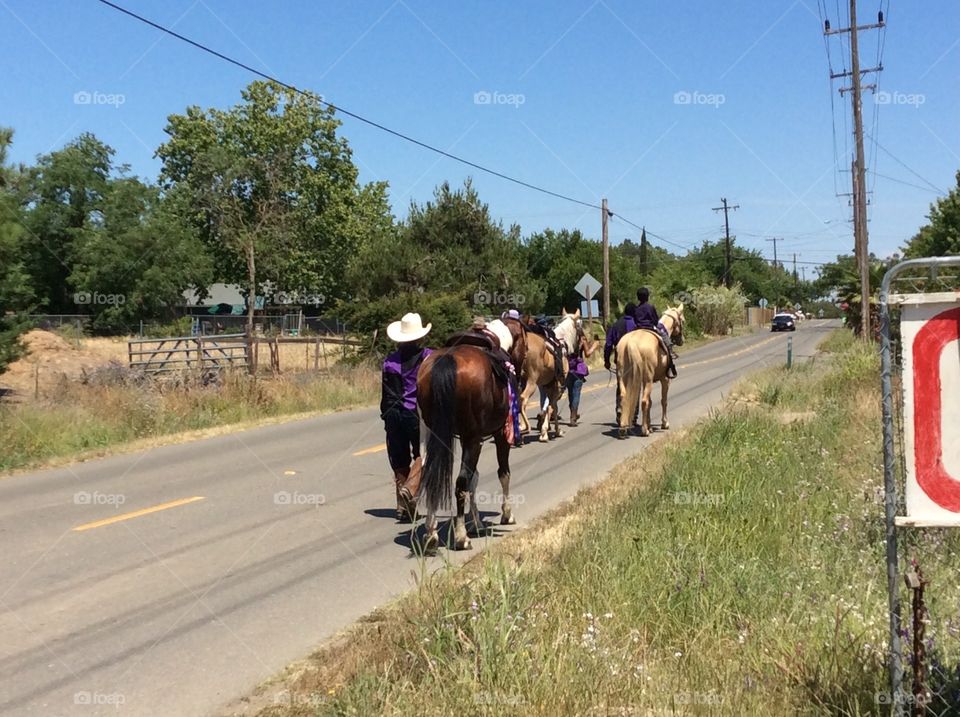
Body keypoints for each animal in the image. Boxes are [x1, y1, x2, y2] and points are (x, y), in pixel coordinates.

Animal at [520, 310, 580, 440]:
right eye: (579, 325)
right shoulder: (558, 386)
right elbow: (553, 405)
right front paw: (549, 431)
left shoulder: (547, 385)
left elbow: (547, 405)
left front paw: (545, 427)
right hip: (531, 381)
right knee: (522, 399)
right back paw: (524, 428)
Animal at [616, 304, 684, 436]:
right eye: (682, 320)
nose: (681, 340)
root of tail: (631, 343)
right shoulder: (665, 379)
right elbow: (663, 401)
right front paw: (664, 423)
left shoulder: (644, 381)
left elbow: (651, 402)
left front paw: (650, 425)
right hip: (648, 380)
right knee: (644, 401)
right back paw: (644, 430)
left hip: (623, 377)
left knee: (624, 397)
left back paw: (623, 428)